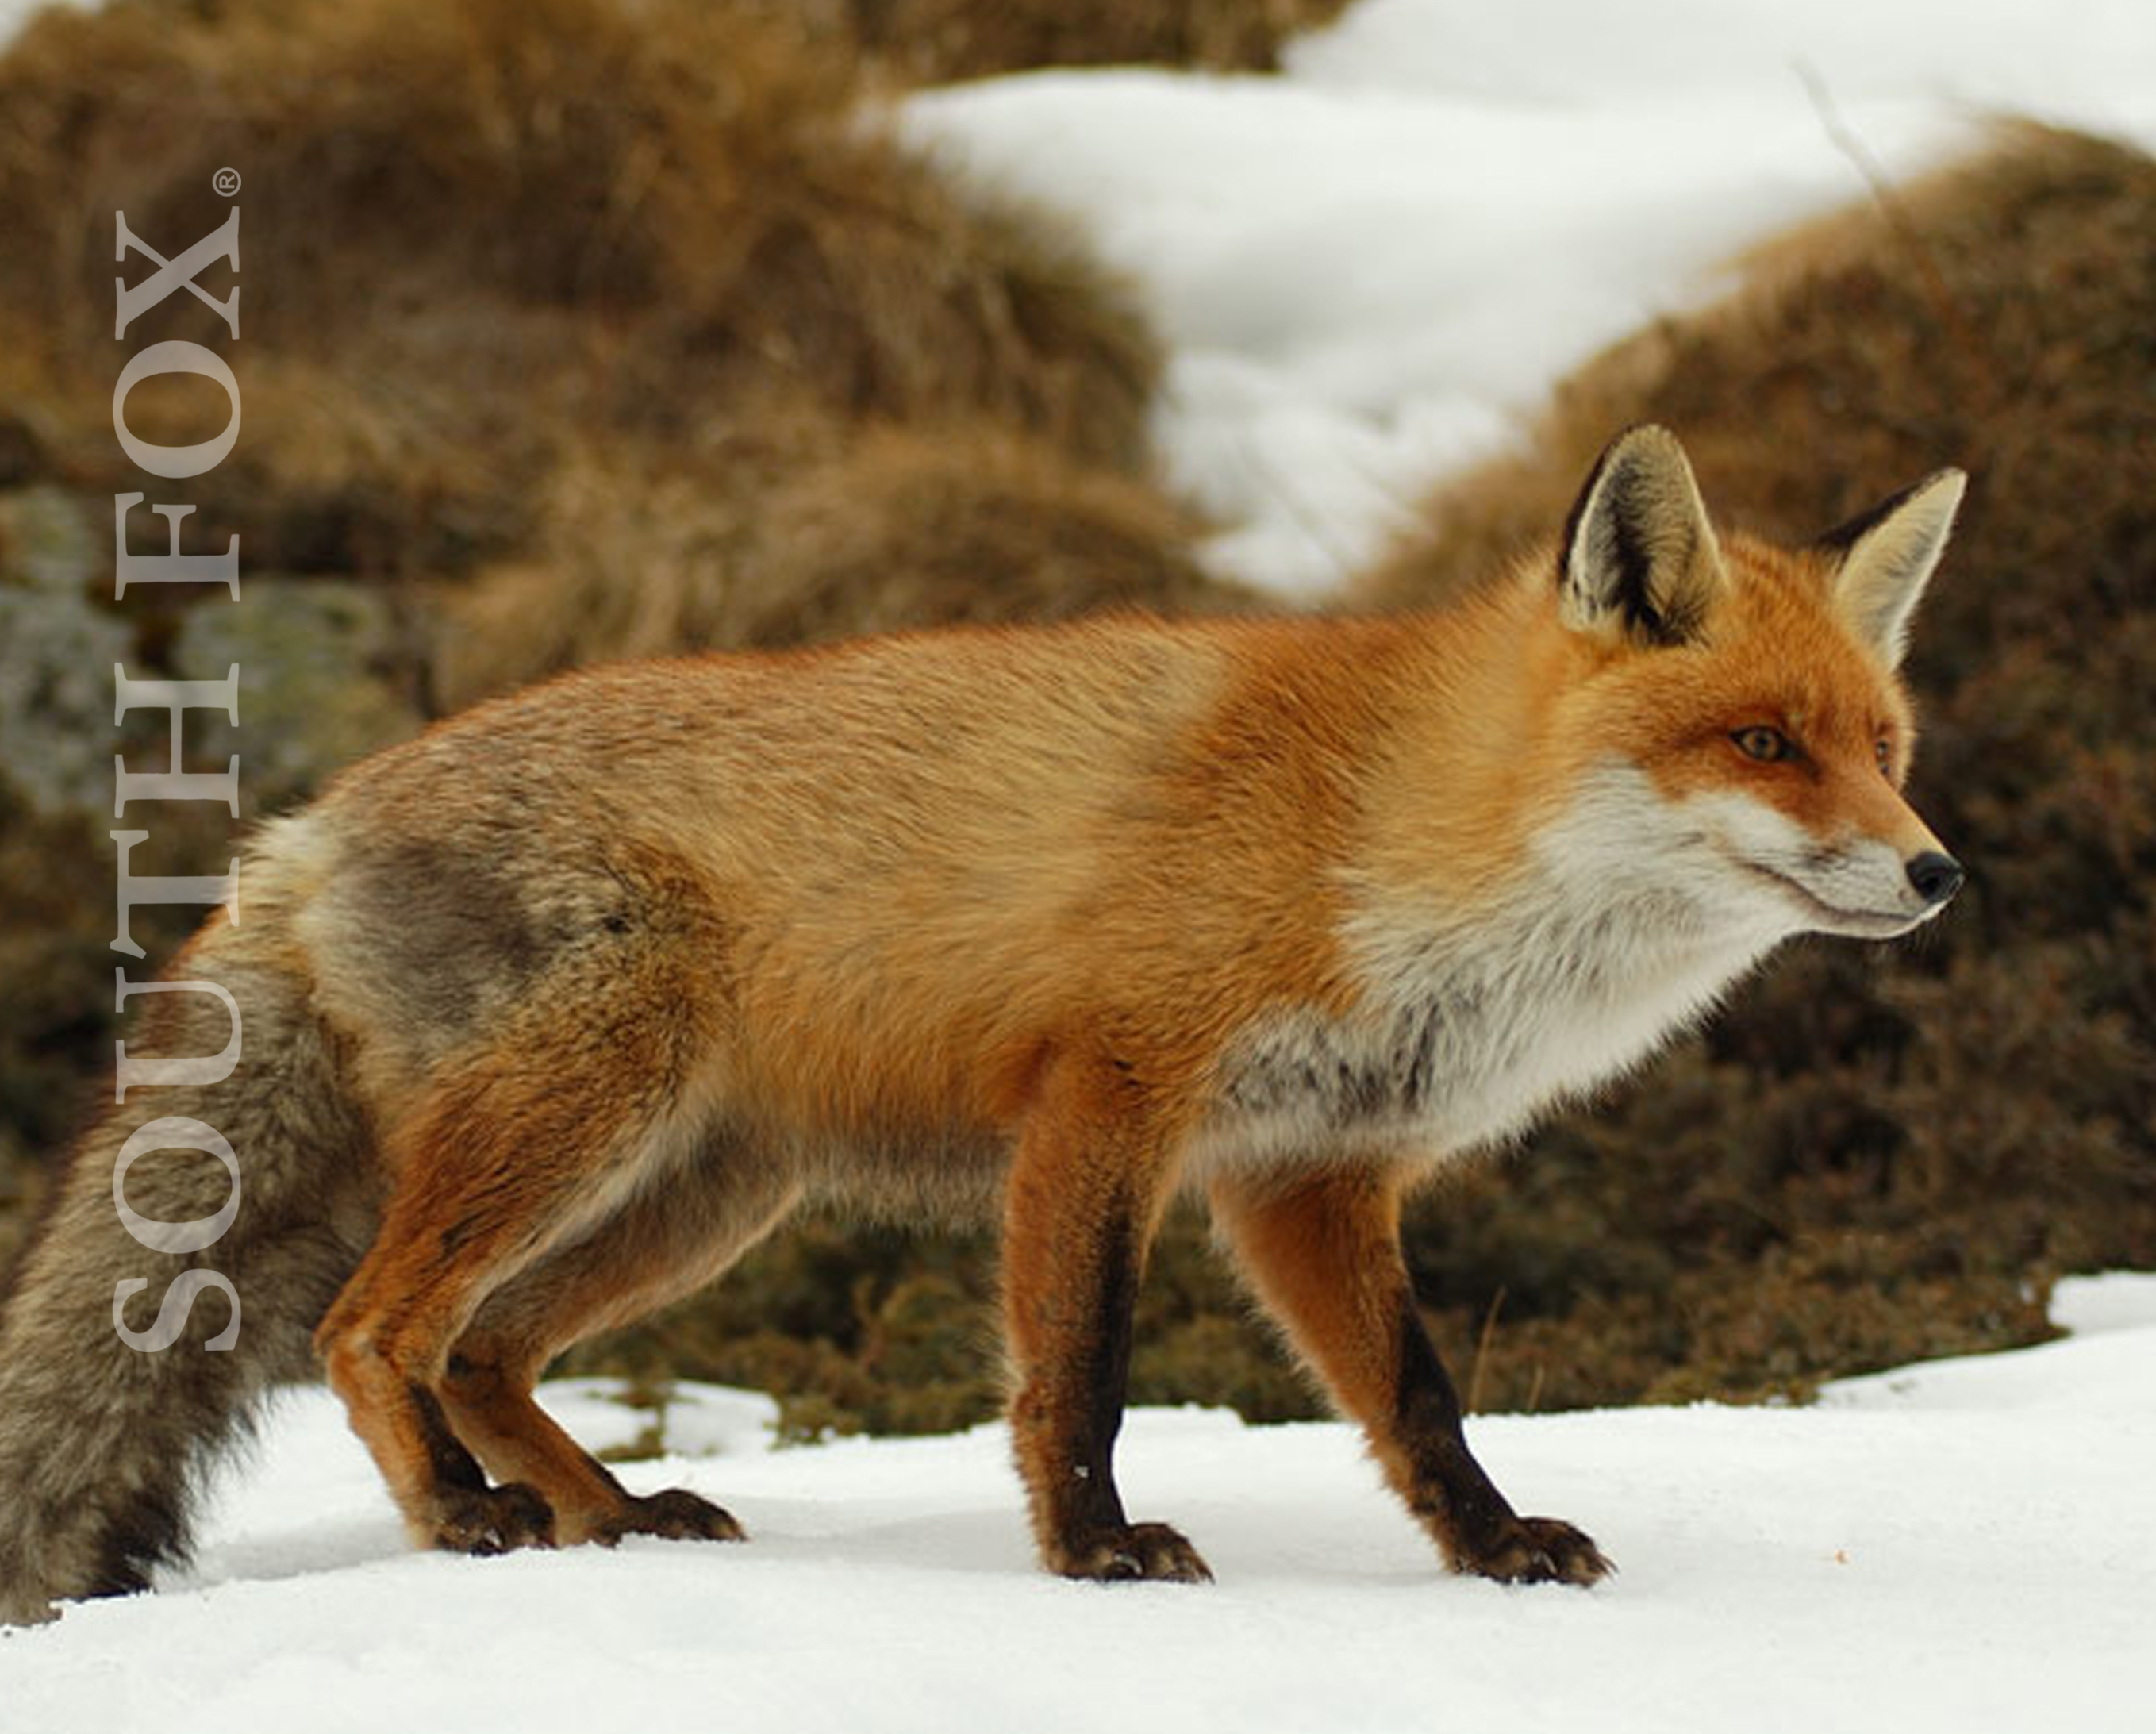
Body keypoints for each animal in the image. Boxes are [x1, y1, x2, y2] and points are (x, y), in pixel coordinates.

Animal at [0, 426, 1967, 1623]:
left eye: (1880, 745)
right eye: (1760, 744)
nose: (1935, 872)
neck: (1391, 836)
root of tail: (303, 824)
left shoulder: (1305, 1172)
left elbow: (1415, 1400)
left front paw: (1491, 1553)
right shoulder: (1107, 1100)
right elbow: (1074, 1374)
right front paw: (1092, 1553)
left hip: (702, 1194)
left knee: (480, 1350)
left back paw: (610, 1517)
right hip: (585, 1118)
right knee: (367, 1327)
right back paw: (462, 1517)